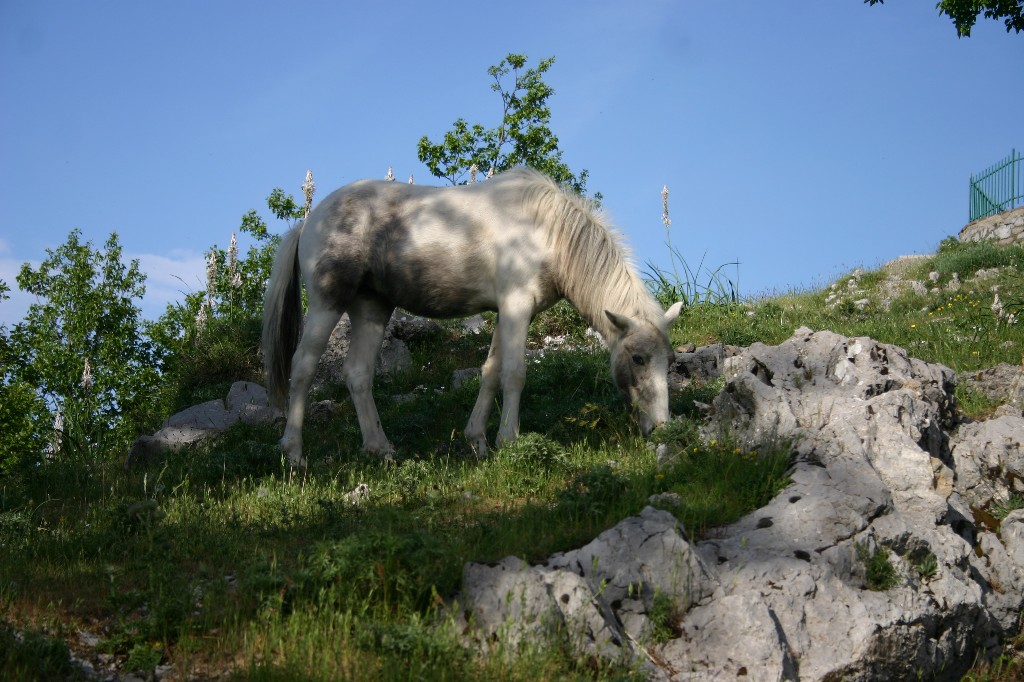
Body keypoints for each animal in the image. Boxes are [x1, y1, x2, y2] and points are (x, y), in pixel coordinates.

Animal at [262, 167, 682, 467]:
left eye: (669, 361)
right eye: (638, 358)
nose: (662, 429)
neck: (547, 233)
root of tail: (308, 221)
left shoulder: (508, 313)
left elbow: (491, 373)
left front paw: (477, 440)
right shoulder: (515, 308)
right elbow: (514, 373)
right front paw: (508, 441)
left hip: (371, 309)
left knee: (358, 374)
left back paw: (380, 448)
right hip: (326, 305)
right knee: (302, 368)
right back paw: (294, 453)